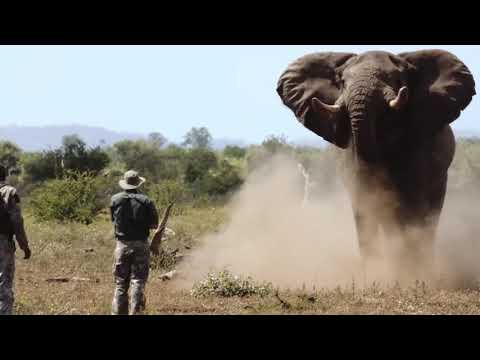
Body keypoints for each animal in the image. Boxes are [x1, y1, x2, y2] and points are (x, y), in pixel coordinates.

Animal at [276, 49, 474, 282]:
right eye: (342, 81)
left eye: (396, 79)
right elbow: (364, 204)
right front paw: (376, 277)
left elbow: (411, 205)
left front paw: (409, 275)